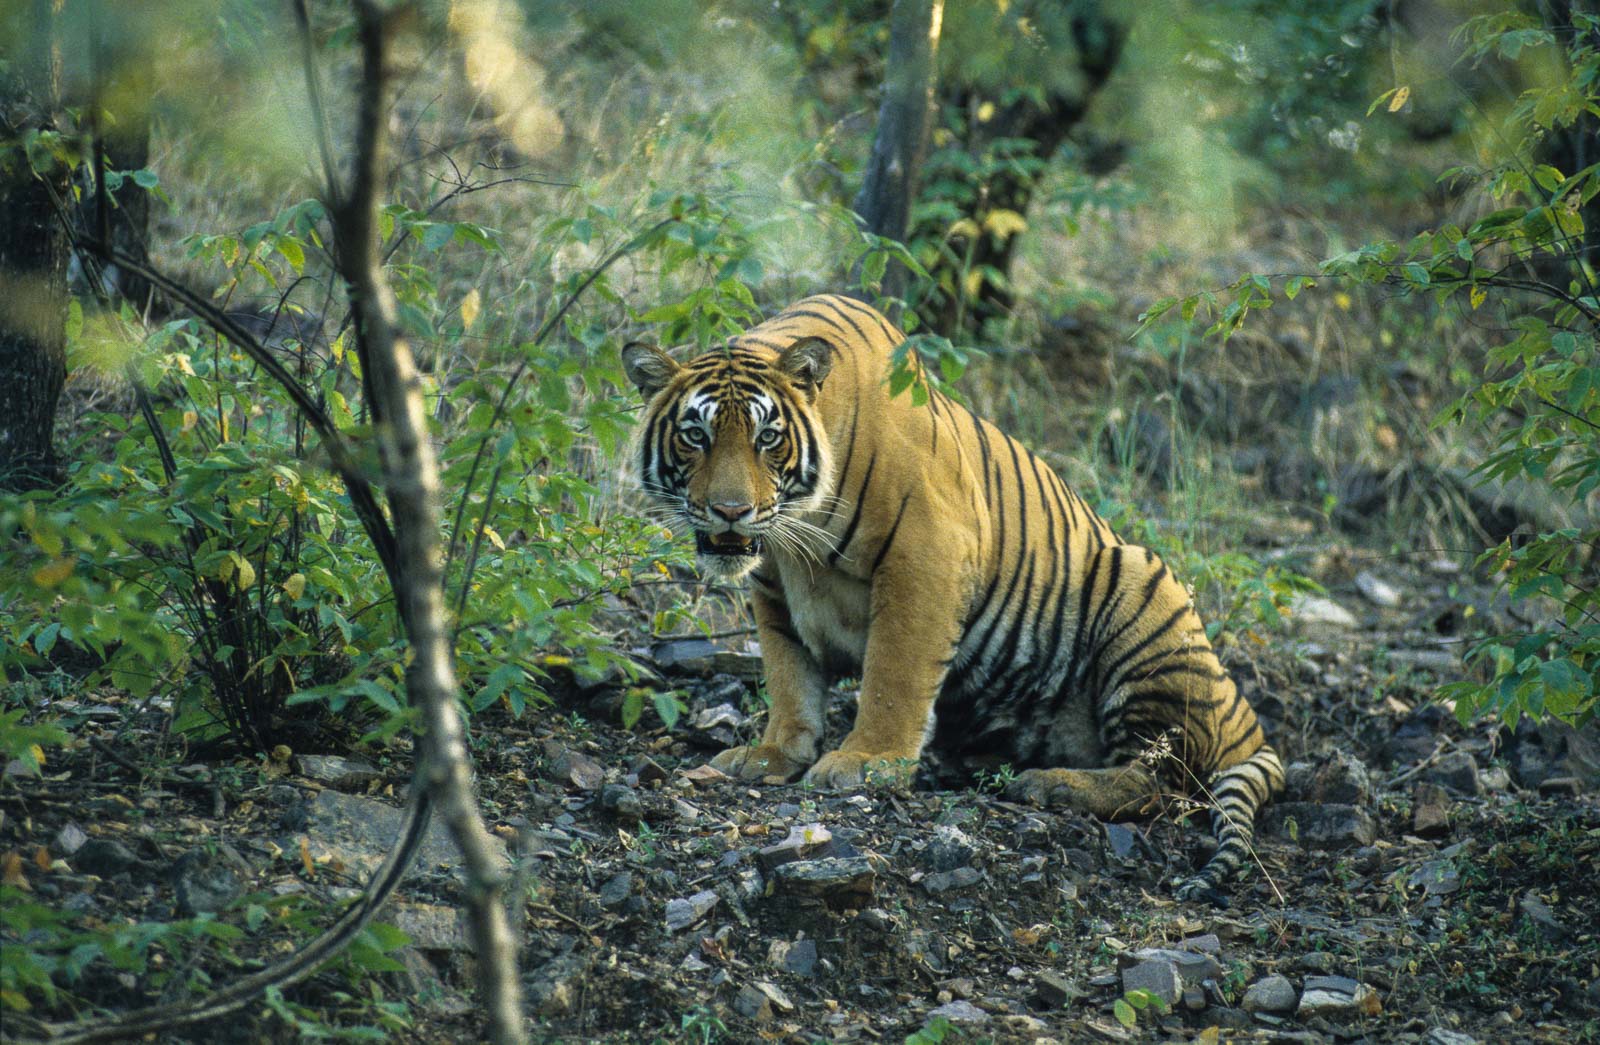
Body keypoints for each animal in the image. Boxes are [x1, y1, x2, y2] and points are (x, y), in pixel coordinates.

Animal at [624, 291, 1286, 896]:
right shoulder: (773, 587)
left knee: (1162, 781)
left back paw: (1052, 784)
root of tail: (1244, 717)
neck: (798, 542)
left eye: (767, 438)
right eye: (695, 435)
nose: (730, 511)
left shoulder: (925, 553)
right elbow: (790, 676)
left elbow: (894, 672)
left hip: (1145, 595)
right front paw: (773, 754)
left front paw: (866, 761)